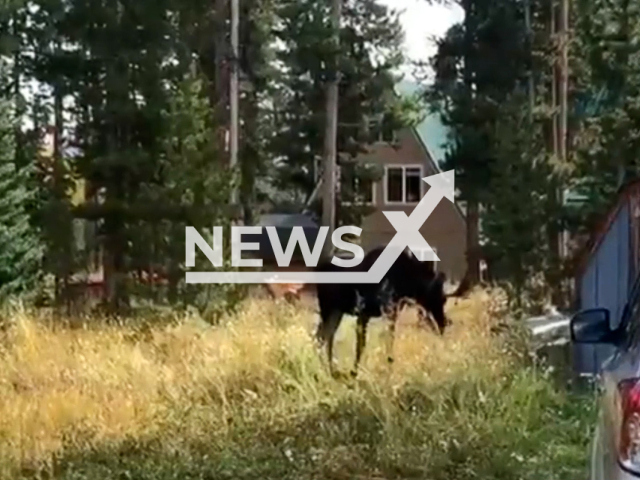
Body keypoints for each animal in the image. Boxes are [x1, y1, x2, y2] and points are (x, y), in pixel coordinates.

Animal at [316, 246, 450, 376]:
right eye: (439, 297)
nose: (443, 323)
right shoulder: (364, 313)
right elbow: (361, 345)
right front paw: (355, 372)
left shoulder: (391, 314)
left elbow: (389, 341)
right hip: (328, 308)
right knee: (323, 336)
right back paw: (326, 369)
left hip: (336, 311)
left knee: (324, 335)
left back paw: (328, 369)